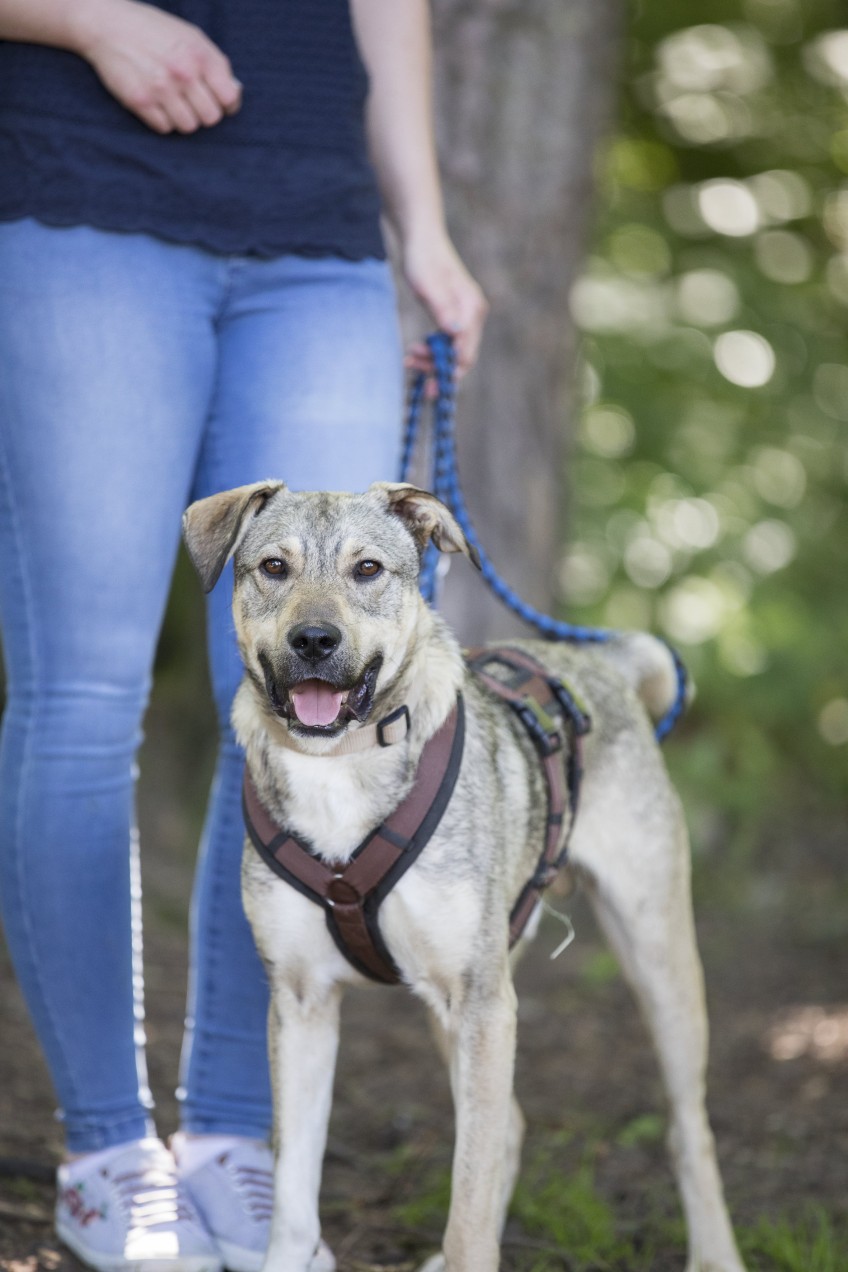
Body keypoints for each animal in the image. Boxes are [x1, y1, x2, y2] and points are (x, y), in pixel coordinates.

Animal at [184, 478, 742, 1272]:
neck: (340, 764)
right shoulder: (302, 1003)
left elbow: (470, 1210)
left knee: (686, 1127)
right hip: (459, 1002)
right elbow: (293, 1200)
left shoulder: (481, 1003)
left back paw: (715, 1252)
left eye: (367, 570)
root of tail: (607, 665)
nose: (314, 641)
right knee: (511, 1127)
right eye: (272, 568)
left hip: (653, 958)